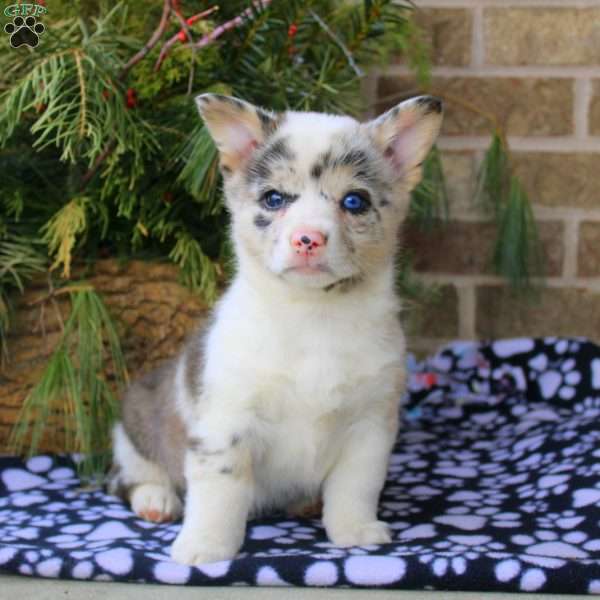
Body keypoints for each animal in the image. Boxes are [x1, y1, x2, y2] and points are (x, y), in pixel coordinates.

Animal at [110, 91, 442, 564]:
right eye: (273, 199)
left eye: (354, 201)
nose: (308, 239)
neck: (314, 314)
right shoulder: (226, 423)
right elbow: (221, 490)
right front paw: (206, 545)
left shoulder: (370, 427)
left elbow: (355, 488)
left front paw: (355, 531)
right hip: (131, 433)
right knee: (129, 478)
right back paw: (157, 500)